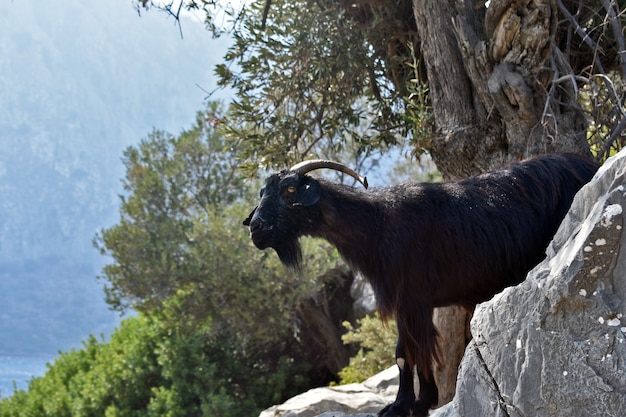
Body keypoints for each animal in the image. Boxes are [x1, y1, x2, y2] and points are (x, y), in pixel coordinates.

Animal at [241, 154, 596, 416]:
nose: (256, 229)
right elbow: (405, 354)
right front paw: (405, 403)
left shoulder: (415, 300)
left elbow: (414, 351)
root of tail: (586, 161)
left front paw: (415, 403)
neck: (377, 225)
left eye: (290, 190)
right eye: (262, 193)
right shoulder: (406, 304)